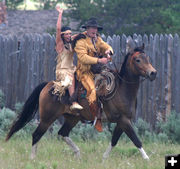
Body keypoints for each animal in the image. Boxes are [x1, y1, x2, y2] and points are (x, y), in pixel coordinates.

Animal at [5, 44, 156, 160]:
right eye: (137, 59)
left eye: (147, 58)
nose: (153, 73)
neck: (121, 89)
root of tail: (48, 85)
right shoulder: (124, 121)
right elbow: (136, 140)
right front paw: (147, 159)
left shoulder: (122, 121)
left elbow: (114, 141)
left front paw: (104, 159)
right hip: (47, 119)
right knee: (36, 135)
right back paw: (33, 158)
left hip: (72, 118)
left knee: (62, 133)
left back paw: (78, 154)